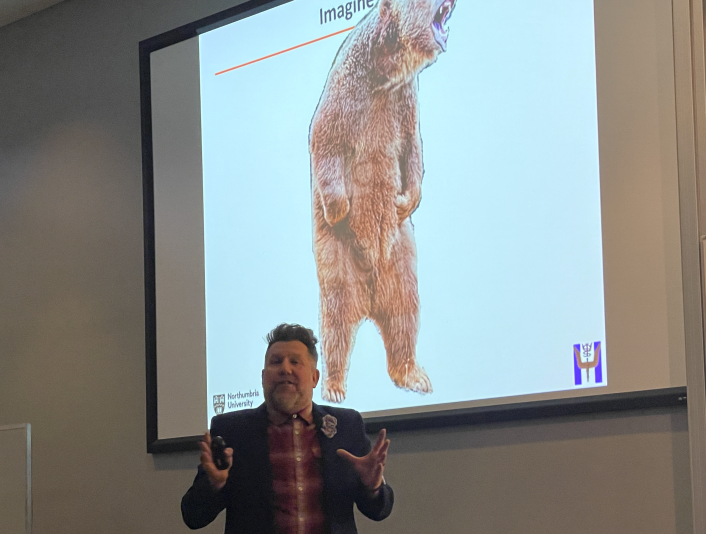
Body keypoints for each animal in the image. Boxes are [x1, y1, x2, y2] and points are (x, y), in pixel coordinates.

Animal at [310, 0, 454, 402]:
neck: (384, 73)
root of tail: (369, 303)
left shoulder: (403, 100)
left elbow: (412, 148)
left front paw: (406, 199)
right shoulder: (349, 90)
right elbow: (325, 138)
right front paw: (339, 208)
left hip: (401, 257)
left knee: (405, 312)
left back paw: (414, 375)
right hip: (338, 259)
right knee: (335, 320)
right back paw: (334, 386)